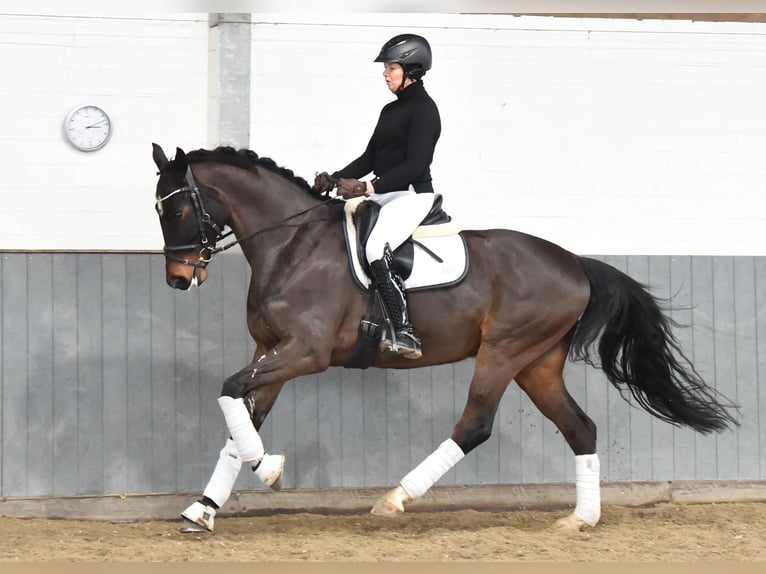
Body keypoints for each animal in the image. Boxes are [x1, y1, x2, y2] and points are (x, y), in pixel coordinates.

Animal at [152, 144, 736, 536]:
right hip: (536, 363)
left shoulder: (305, 353)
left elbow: (230, 393)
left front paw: (269, 470)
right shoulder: (269, 350)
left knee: (475, 424)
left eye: (177, 209)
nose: (178, 279)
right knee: (580, 427)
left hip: (503, 352)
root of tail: (575, 264)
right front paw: (203, 510)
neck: (293, 246)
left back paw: (395, 498)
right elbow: (241, 417)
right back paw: (580, 519)